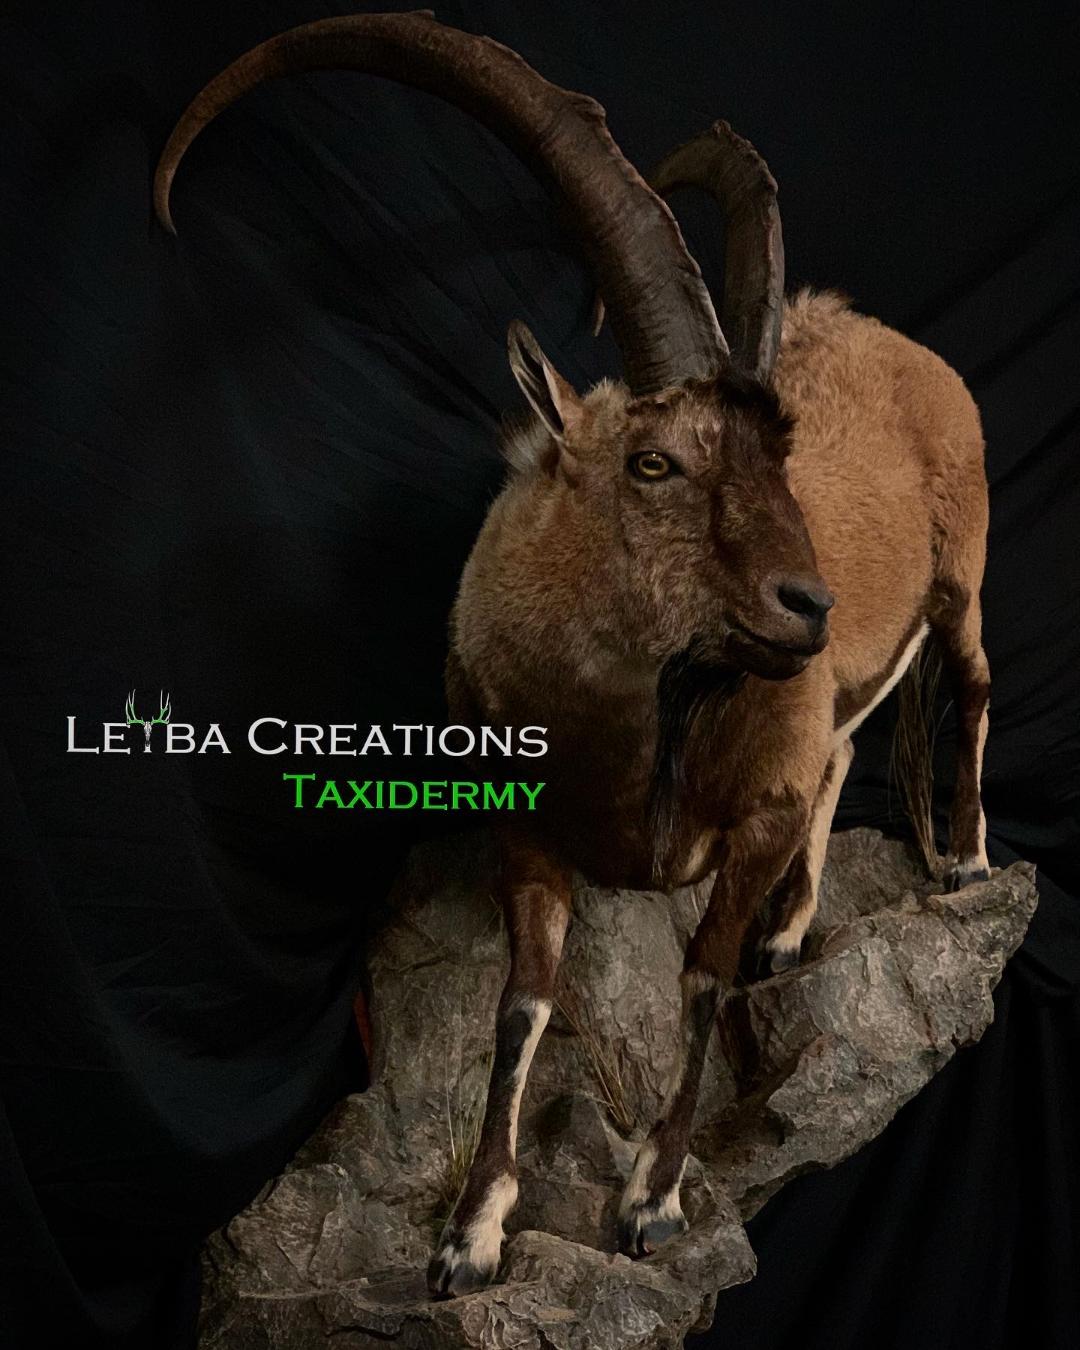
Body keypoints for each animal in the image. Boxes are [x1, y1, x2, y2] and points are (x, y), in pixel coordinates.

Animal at [155, 11, 990, 1301]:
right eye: (655, 462)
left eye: (781, 460)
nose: (810, 604)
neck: (628, 737)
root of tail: (905, 346)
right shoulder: (527, 829)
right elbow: (522, 1003)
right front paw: (471, 1233)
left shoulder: (752, 805)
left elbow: (701, 975)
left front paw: (651, 1199)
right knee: (850, 751)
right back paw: (796, 929)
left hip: (964, 573)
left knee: (973, 687)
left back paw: (962, 864)